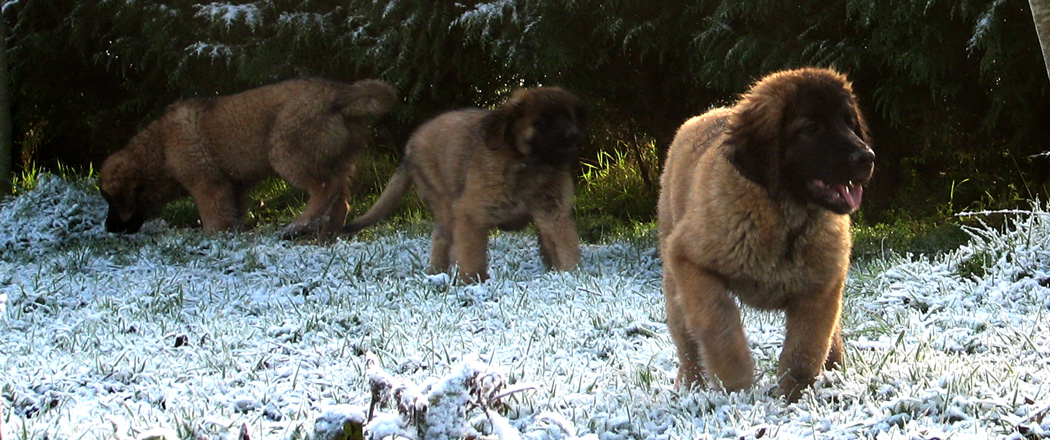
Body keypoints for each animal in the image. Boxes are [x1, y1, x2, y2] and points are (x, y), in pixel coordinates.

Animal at [98, 77, 394, 239]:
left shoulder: (208, 185)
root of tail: (340, 95)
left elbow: (213, 216)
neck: (159, 150)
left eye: (113, 201)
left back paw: (298, 226)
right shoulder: (233, 187)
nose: (109, 228)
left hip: (287, 152)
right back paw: (326, 237)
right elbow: (233, 213)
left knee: (325, 189)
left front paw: (212, 239)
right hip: (339, 161)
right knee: (339, 202)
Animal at [348, 87, 588, 283]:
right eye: (542, 122)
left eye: (569, 117)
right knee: (442, 240)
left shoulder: (554, 213)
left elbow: (564, 245)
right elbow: (471, 253)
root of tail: (411, 144)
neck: (528, 166)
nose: (575, 135)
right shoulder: (470, 214)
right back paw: (438, 273)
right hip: (444, 204)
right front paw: (473, 280)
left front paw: (569, 275)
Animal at [659, 66, 873, 403]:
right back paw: (691, 385)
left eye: (850, 123)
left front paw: (792, 397)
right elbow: (718, 322)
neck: (787, 219)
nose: (867, 158)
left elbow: (805, 350)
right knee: (688, 345)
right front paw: (736, 381)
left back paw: (836, 369)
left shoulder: (821, 287)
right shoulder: (690, 260)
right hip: (674, 284)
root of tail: (709, 113)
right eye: (811, 128)